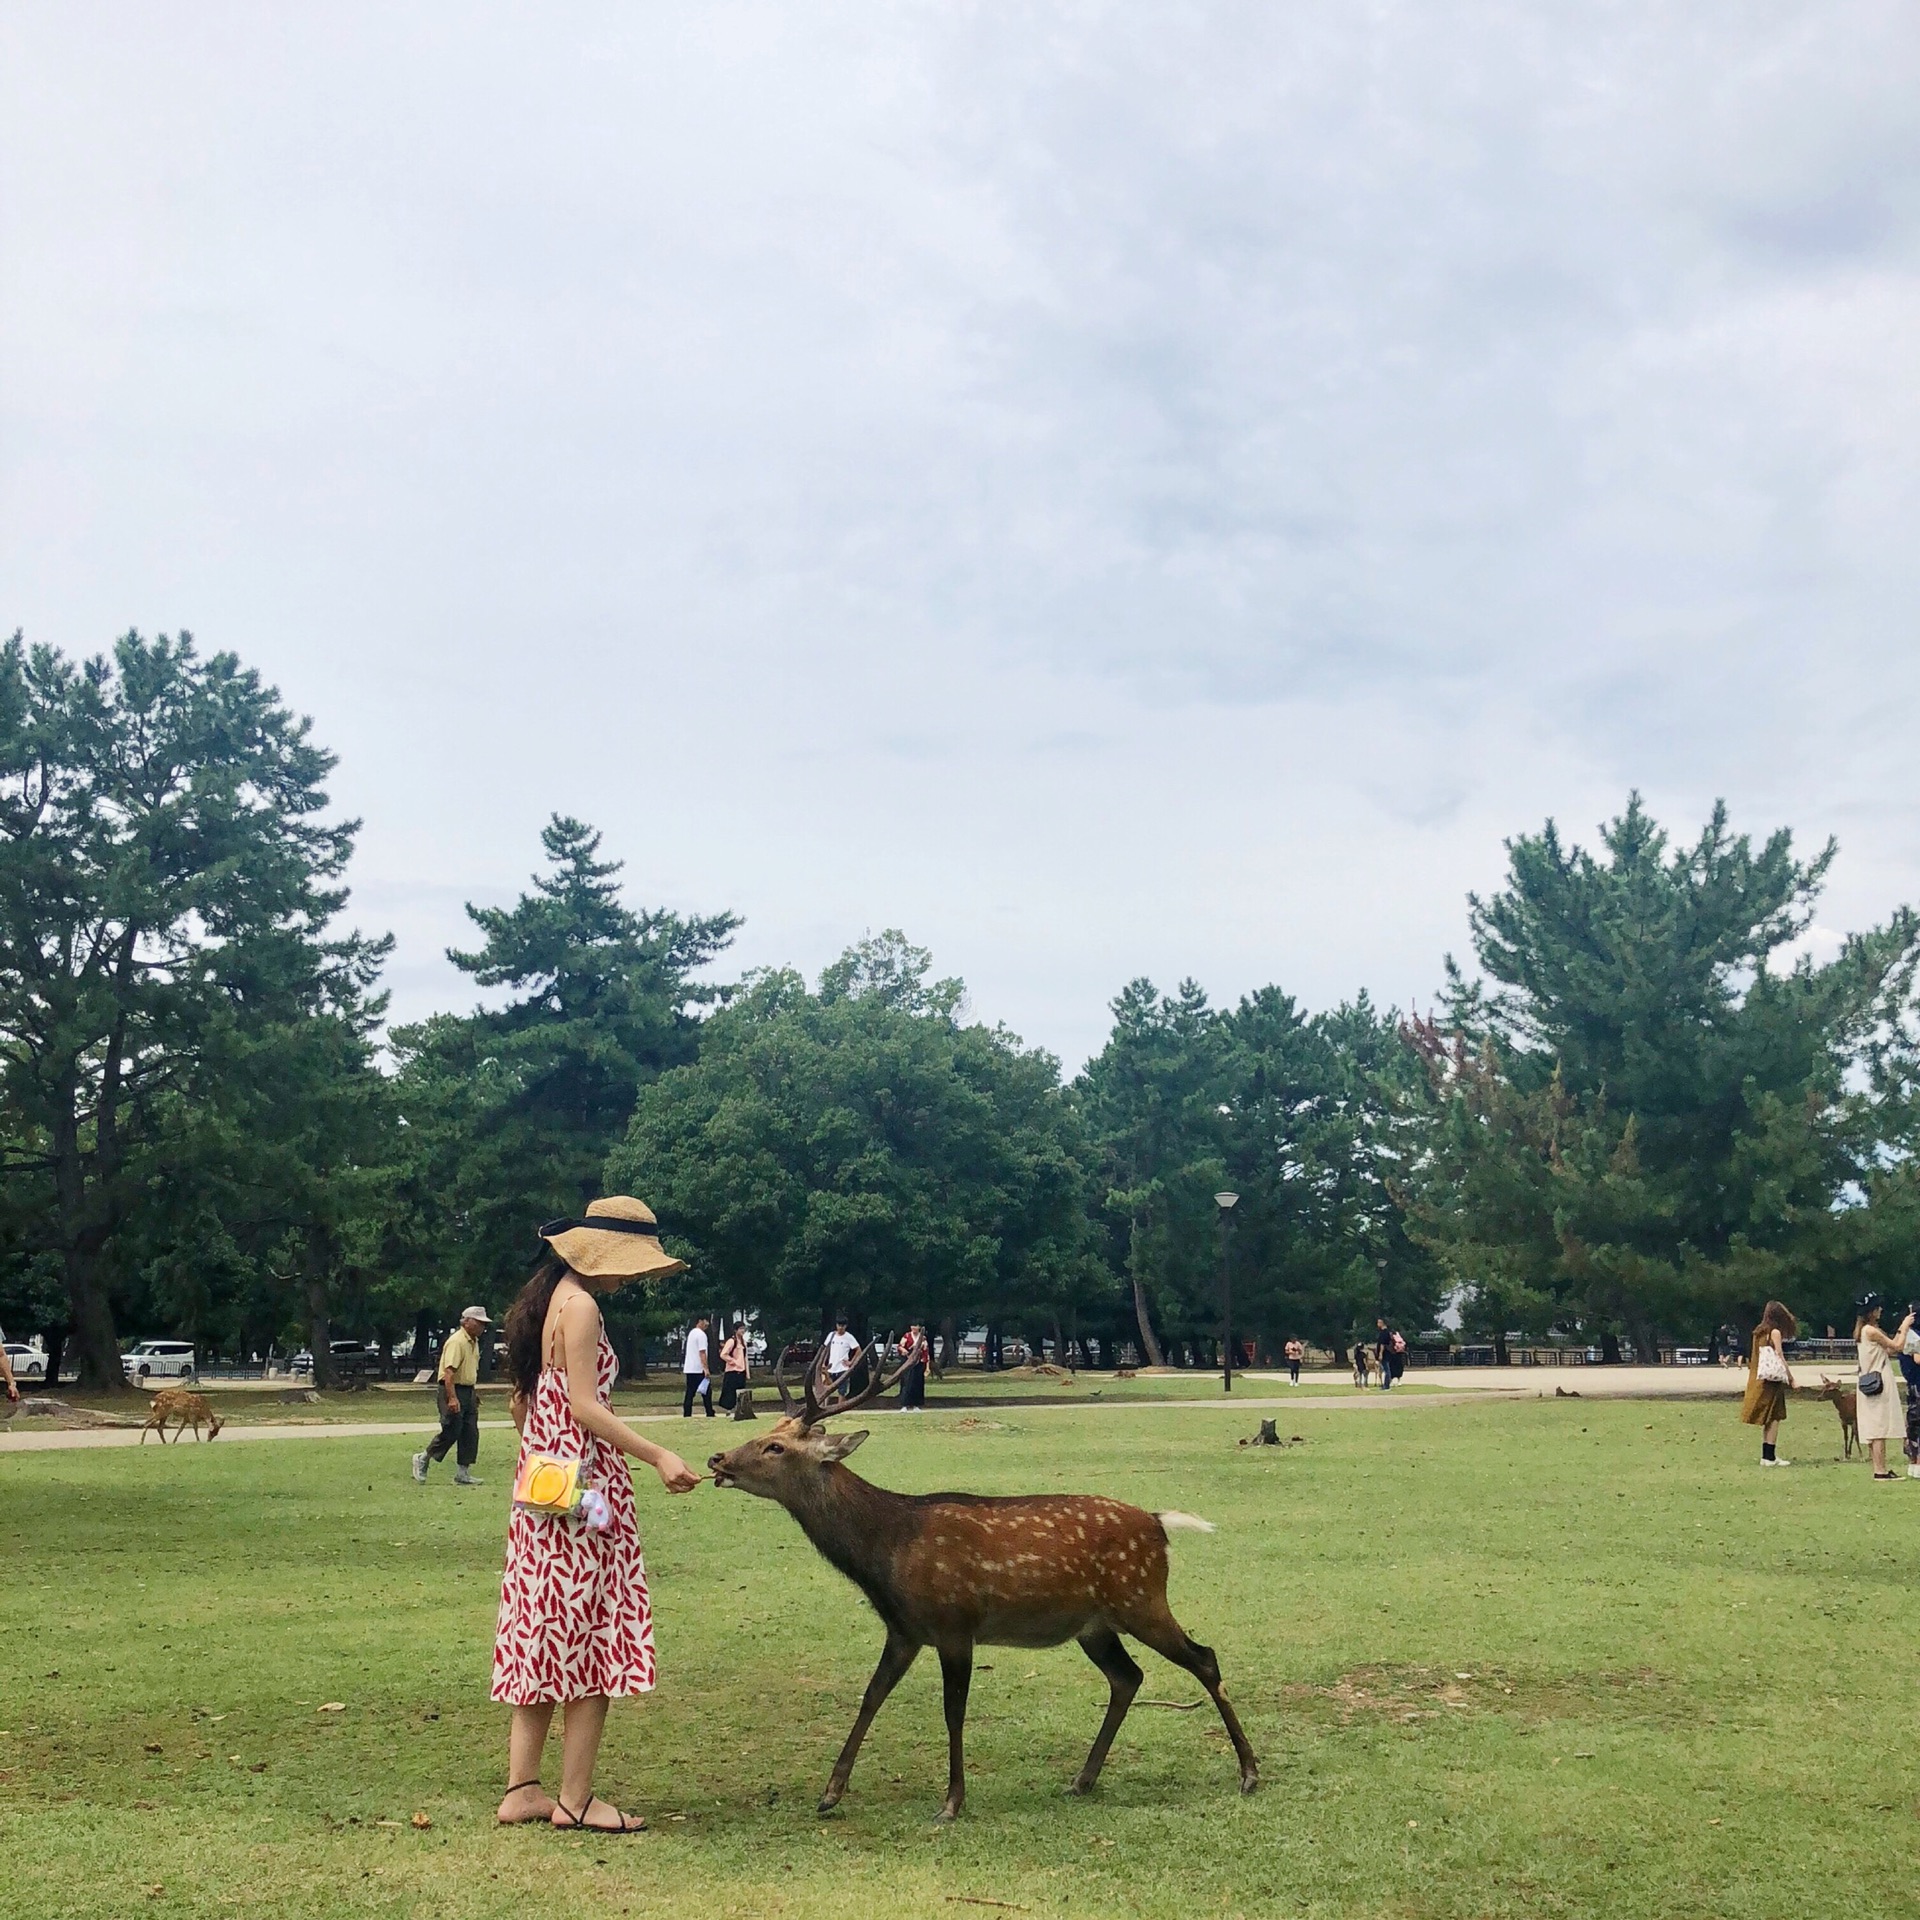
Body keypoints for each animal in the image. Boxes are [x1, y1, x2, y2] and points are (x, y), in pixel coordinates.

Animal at [706, 1344, 1259, 1820]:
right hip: (1095, 1625)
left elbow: (953, 1710)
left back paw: (1249, 1773)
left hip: (1141, 1596)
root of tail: (1159, 1524)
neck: (887, 1551)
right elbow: (871, 1695)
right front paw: (830, 1793)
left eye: (776, 1446)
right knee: (1128, 1677)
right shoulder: (903, 1629)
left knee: (1204, 1659)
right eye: (767, 1432)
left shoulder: (955, 1623)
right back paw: (1082, 1779)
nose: (718, 1459)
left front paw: (951, 1802)